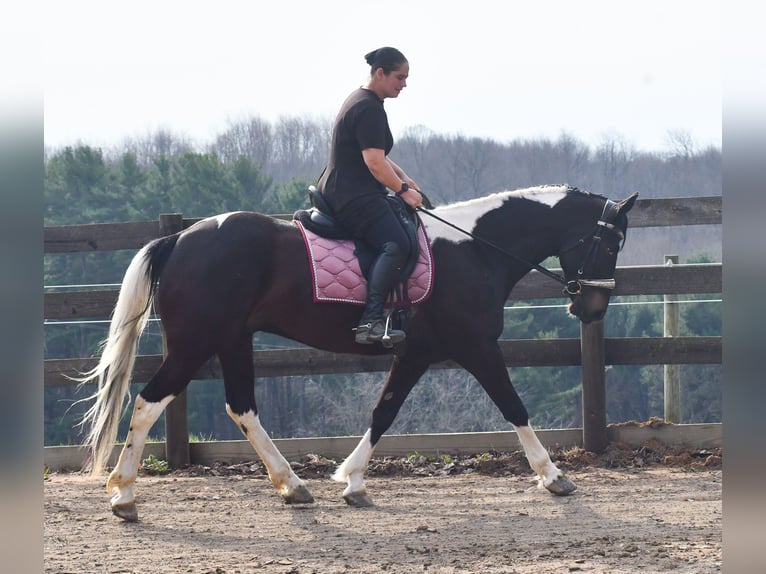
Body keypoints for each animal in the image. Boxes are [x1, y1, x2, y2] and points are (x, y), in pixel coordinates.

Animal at [78, 184, 638, 521]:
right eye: (611, 245)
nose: (591, 308)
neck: (476, 249)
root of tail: (178, 238)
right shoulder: (475, 346)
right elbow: (513, 406)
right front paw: (554, 477)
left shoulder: (416, 353)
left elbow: (383, 412)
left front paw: (351, 481)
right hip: (198, 341)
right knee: (150, 402)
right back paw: (123, 493)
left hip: (232, 339)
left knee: (242, 408)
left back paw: (292, 485)